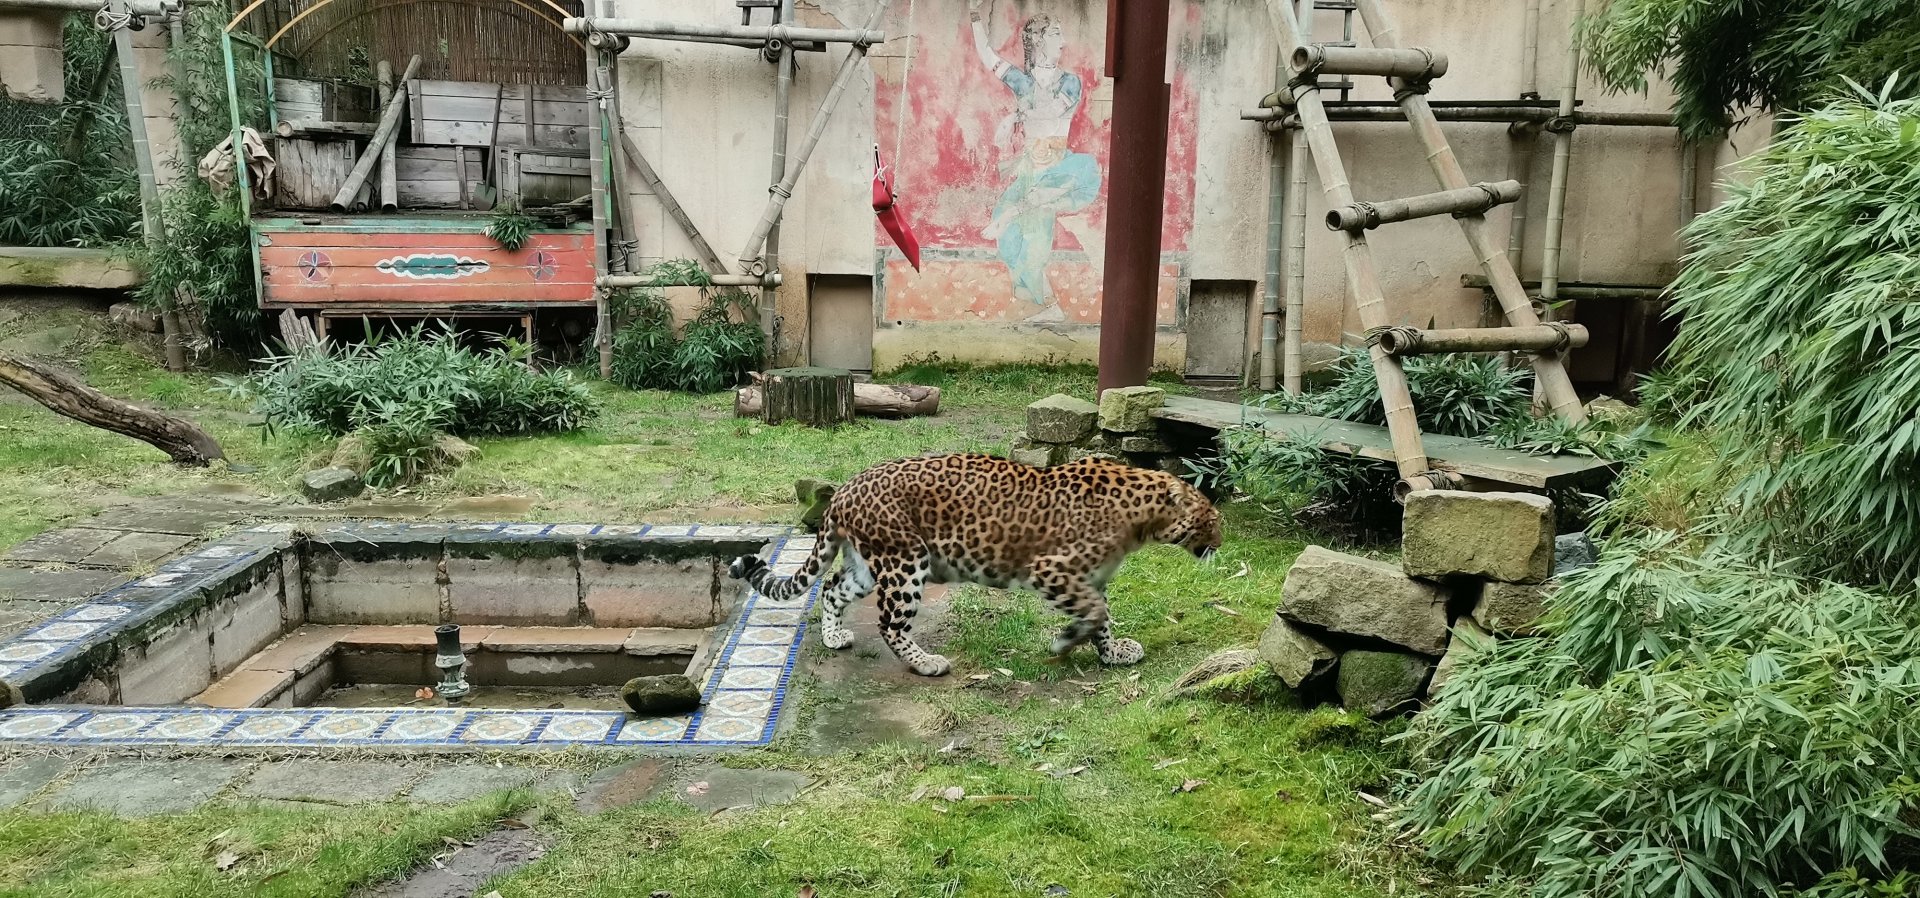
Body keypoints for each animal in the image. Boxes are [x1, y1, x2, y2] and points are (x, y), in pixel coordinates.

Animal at [728, 452, 1223, 677]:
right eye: (1213, 519)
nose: (1222, 543)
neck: (1142, 516)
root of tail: (845, 490)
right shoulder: (1052, 570)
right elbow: (1096, 613)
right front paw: (1065, 642)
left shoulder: (1091, 580)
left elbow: (1101, 617)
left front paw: (1112, 652)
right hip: (905, 560)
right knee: (890, 623)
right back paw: (926, 662)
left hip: (869, 563)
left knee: (832, 588)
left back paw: (834, 637)